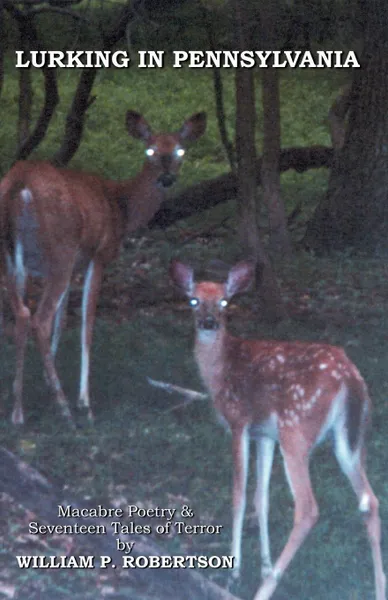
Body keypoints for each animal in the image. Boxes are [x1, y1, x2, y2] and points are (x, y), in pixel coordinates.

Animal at [0, 109, 206, 426]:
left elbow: (62, 320)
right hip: (61, 248)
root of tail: (20, 185)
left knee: (22, 315)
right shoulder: (98, 256)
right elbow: (86, 324)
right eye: (150, 150)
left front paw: (47, 380)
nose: (167, 178)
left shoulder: (72, 263)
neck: (121, 207)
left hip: (12, 257)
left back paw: (18, 410)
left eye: (180, 150)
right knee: (38, 319)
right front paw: (83, 400)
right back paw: (65, 409)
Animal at [170, 260, 384, 600]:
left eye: (224, 302)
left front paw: (235, 572)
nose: (208, 322)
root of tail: (350, 377)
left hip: (295, 430)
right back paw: (378, 588)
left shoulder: (239, 421)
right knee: (370, 500)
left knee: (308, 508)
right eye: (193, 300)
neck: (220, 371)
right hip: (349, 439)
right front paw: (264, 564)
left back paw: (266, 589)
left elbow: (239, 495)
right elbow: (262, 498)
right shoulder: (264, 435)